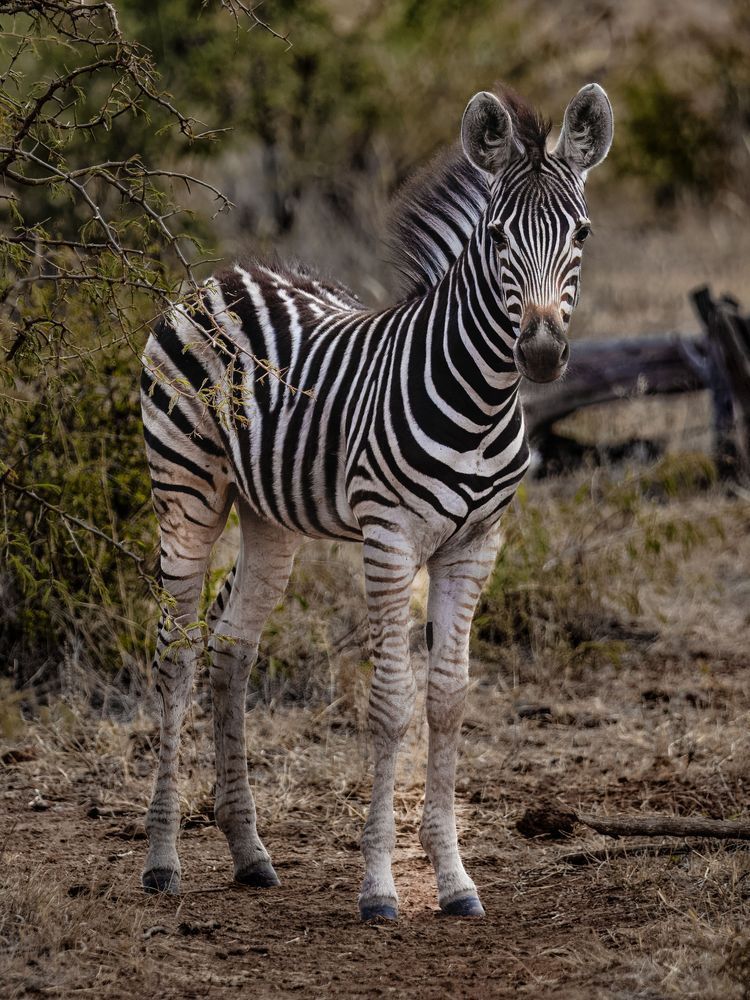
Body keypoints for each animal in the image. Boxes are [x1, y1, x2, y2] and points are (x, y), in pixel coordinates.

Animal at [140, 83, 613, 921]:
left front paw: (455, 881)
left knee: (232, 649)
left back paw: (249, 852)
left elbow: (449, 700)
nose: (540, 354)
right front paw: (380, 888)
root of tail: (225, 275)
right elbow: (392, 703)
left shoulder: (477, 544)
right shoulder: (390, 538)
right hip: (186, 491)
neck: (481, 400)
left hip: (269, 517)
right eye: (498, 236)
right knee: (176, 657)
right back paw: (163, 861)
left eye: (581, 232)